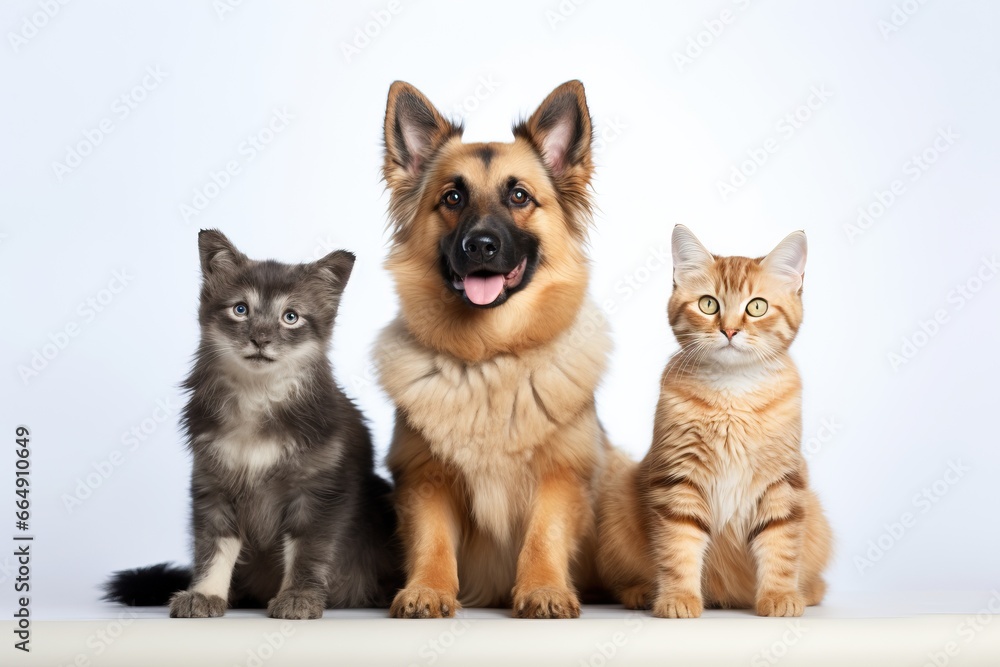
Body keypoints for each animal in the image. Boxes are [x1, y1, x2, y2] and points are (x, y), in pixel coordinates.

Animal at [102, 232, 398, 620]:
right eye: (240, 309)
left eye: (291, 317)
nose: (260, 338)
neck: (257, 398)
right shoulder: (213, 483)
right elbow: (213, 547)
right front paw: (205, 594)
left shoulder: (319, 491)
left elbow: (308, 550)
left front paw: (298, 597)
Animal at [374, 81, 612, 620]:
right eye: (453, 197)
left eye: (519, 196)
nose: (480, 245)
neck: (489, 357)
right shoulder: (425, 478)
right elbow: (433, 540)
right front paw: (428, 590)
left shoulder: (561, 476)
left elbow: (544, 535)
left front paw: (543, 589)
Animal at [596, 226, 832, 620]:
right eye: (709, 304)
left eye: (756, 306)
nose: (730, 331)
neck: (733, 395)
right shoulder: (679, 479)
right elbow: (679, 549)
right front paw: (677, 599)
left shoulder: (783, 483)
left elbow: (780, 547)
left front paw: (779, 596)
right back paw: (642, 593)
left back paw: (804, 591)